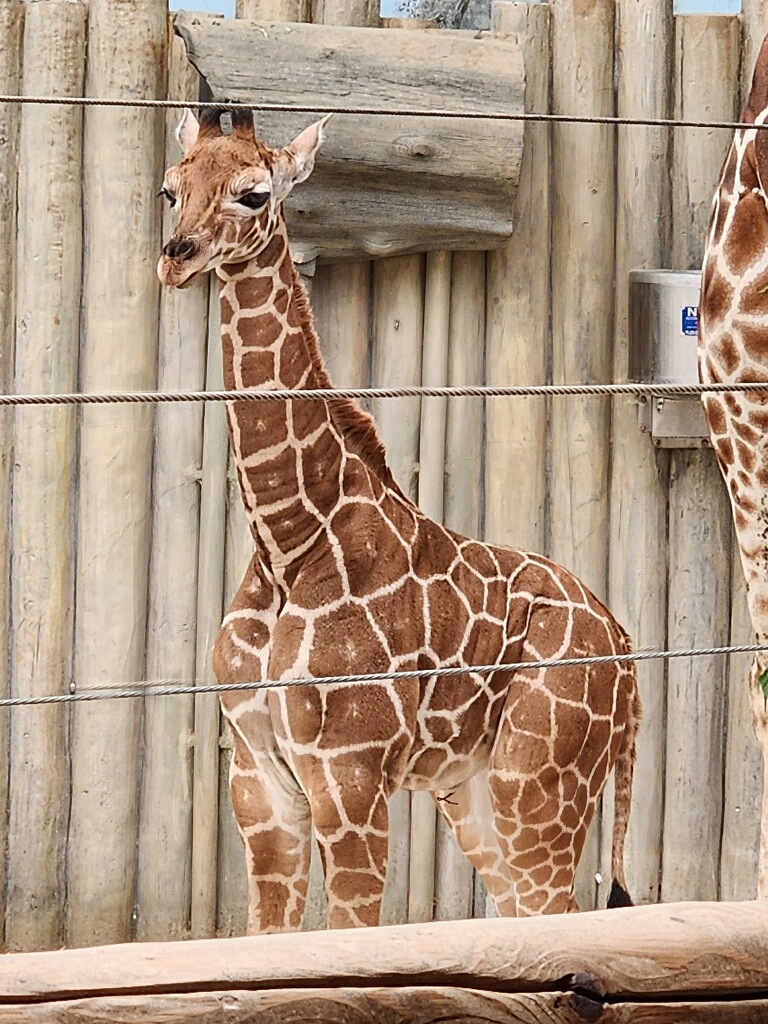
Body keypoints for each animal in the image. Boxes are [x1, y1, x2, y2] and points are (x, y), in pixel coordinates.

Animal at [157, 106, 641, 932]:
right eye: (169, 189)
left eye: (255, 194)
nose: (176, 259)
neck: (287, 538)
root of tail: (628, 651)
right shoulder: (259, 782)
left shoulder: (351, 778)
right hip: (474, 794)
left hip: (541, 788)